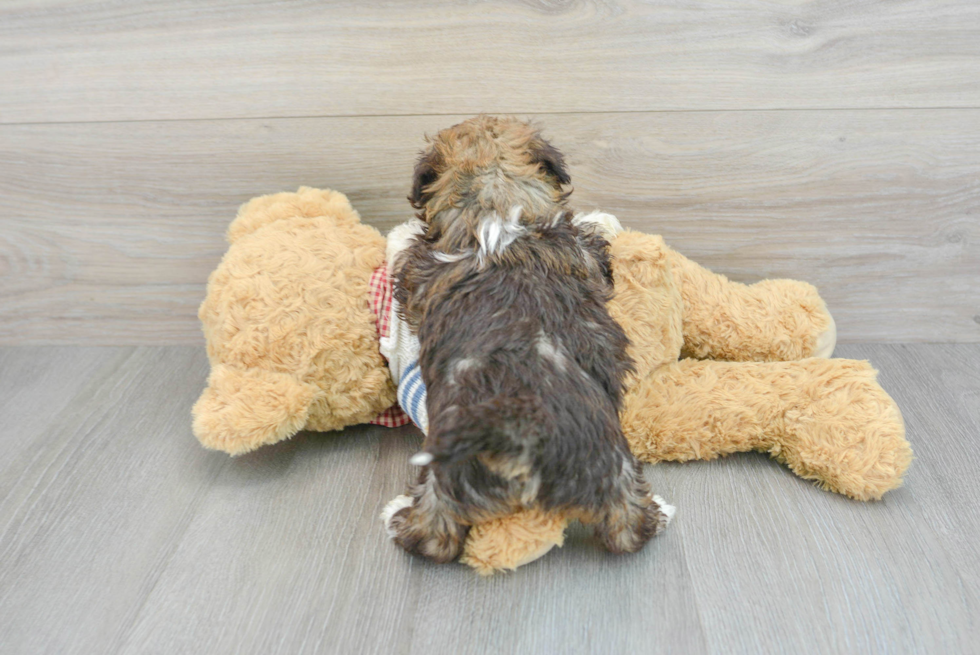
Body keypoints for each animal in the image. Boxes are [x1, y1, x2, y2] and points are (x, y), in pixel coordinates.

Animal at [382, 116, 672, 564]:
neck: (496, 204)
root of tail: (518, 439)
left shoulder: (420, 275)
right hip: (611, 467)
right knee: (627, 525)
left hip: (448, 482)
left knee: (434, 536)